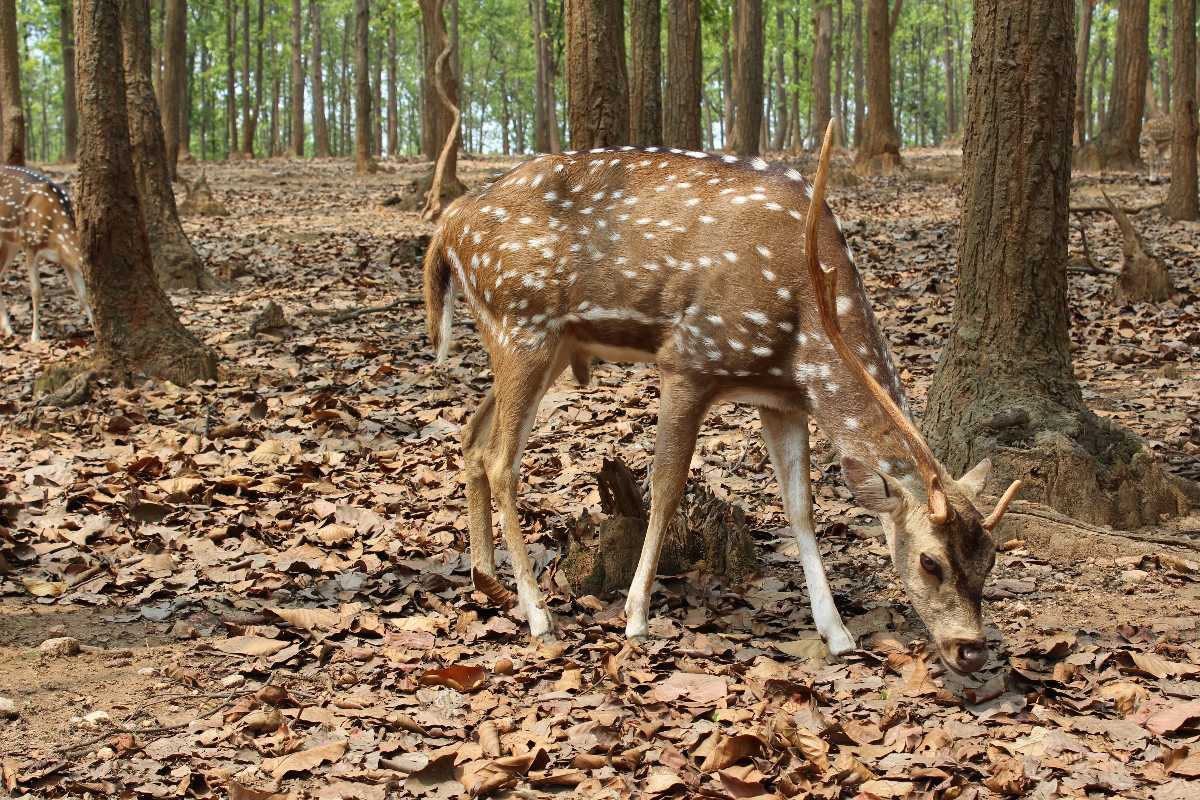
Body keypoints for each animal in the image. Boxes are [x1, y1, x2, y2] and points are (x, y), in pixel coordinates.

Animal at [0, 165, 92, 340]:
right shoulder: (30, 244)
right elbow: (36, 291)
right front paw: (35, 337)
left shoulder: (65, 259)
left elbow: (82, 295)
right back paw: (9, 329)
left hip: (11, 243)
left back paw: (8, 329)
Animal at [427, 123, 1017, 676]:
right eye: (930, 561)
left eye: (990, 560)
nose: (971, 651)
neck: (802, 334)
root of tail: (447, 227)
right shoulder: (689, 358)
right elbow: (665, 488)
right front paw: (636, 617)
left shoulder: (783, 399)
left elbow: (800, 508)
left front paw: (839, 634)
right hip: (522, 324)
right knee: (502, 460)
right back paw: (538, 614)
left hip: (540, 342)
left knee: (472, 438)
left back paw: (489, 581)